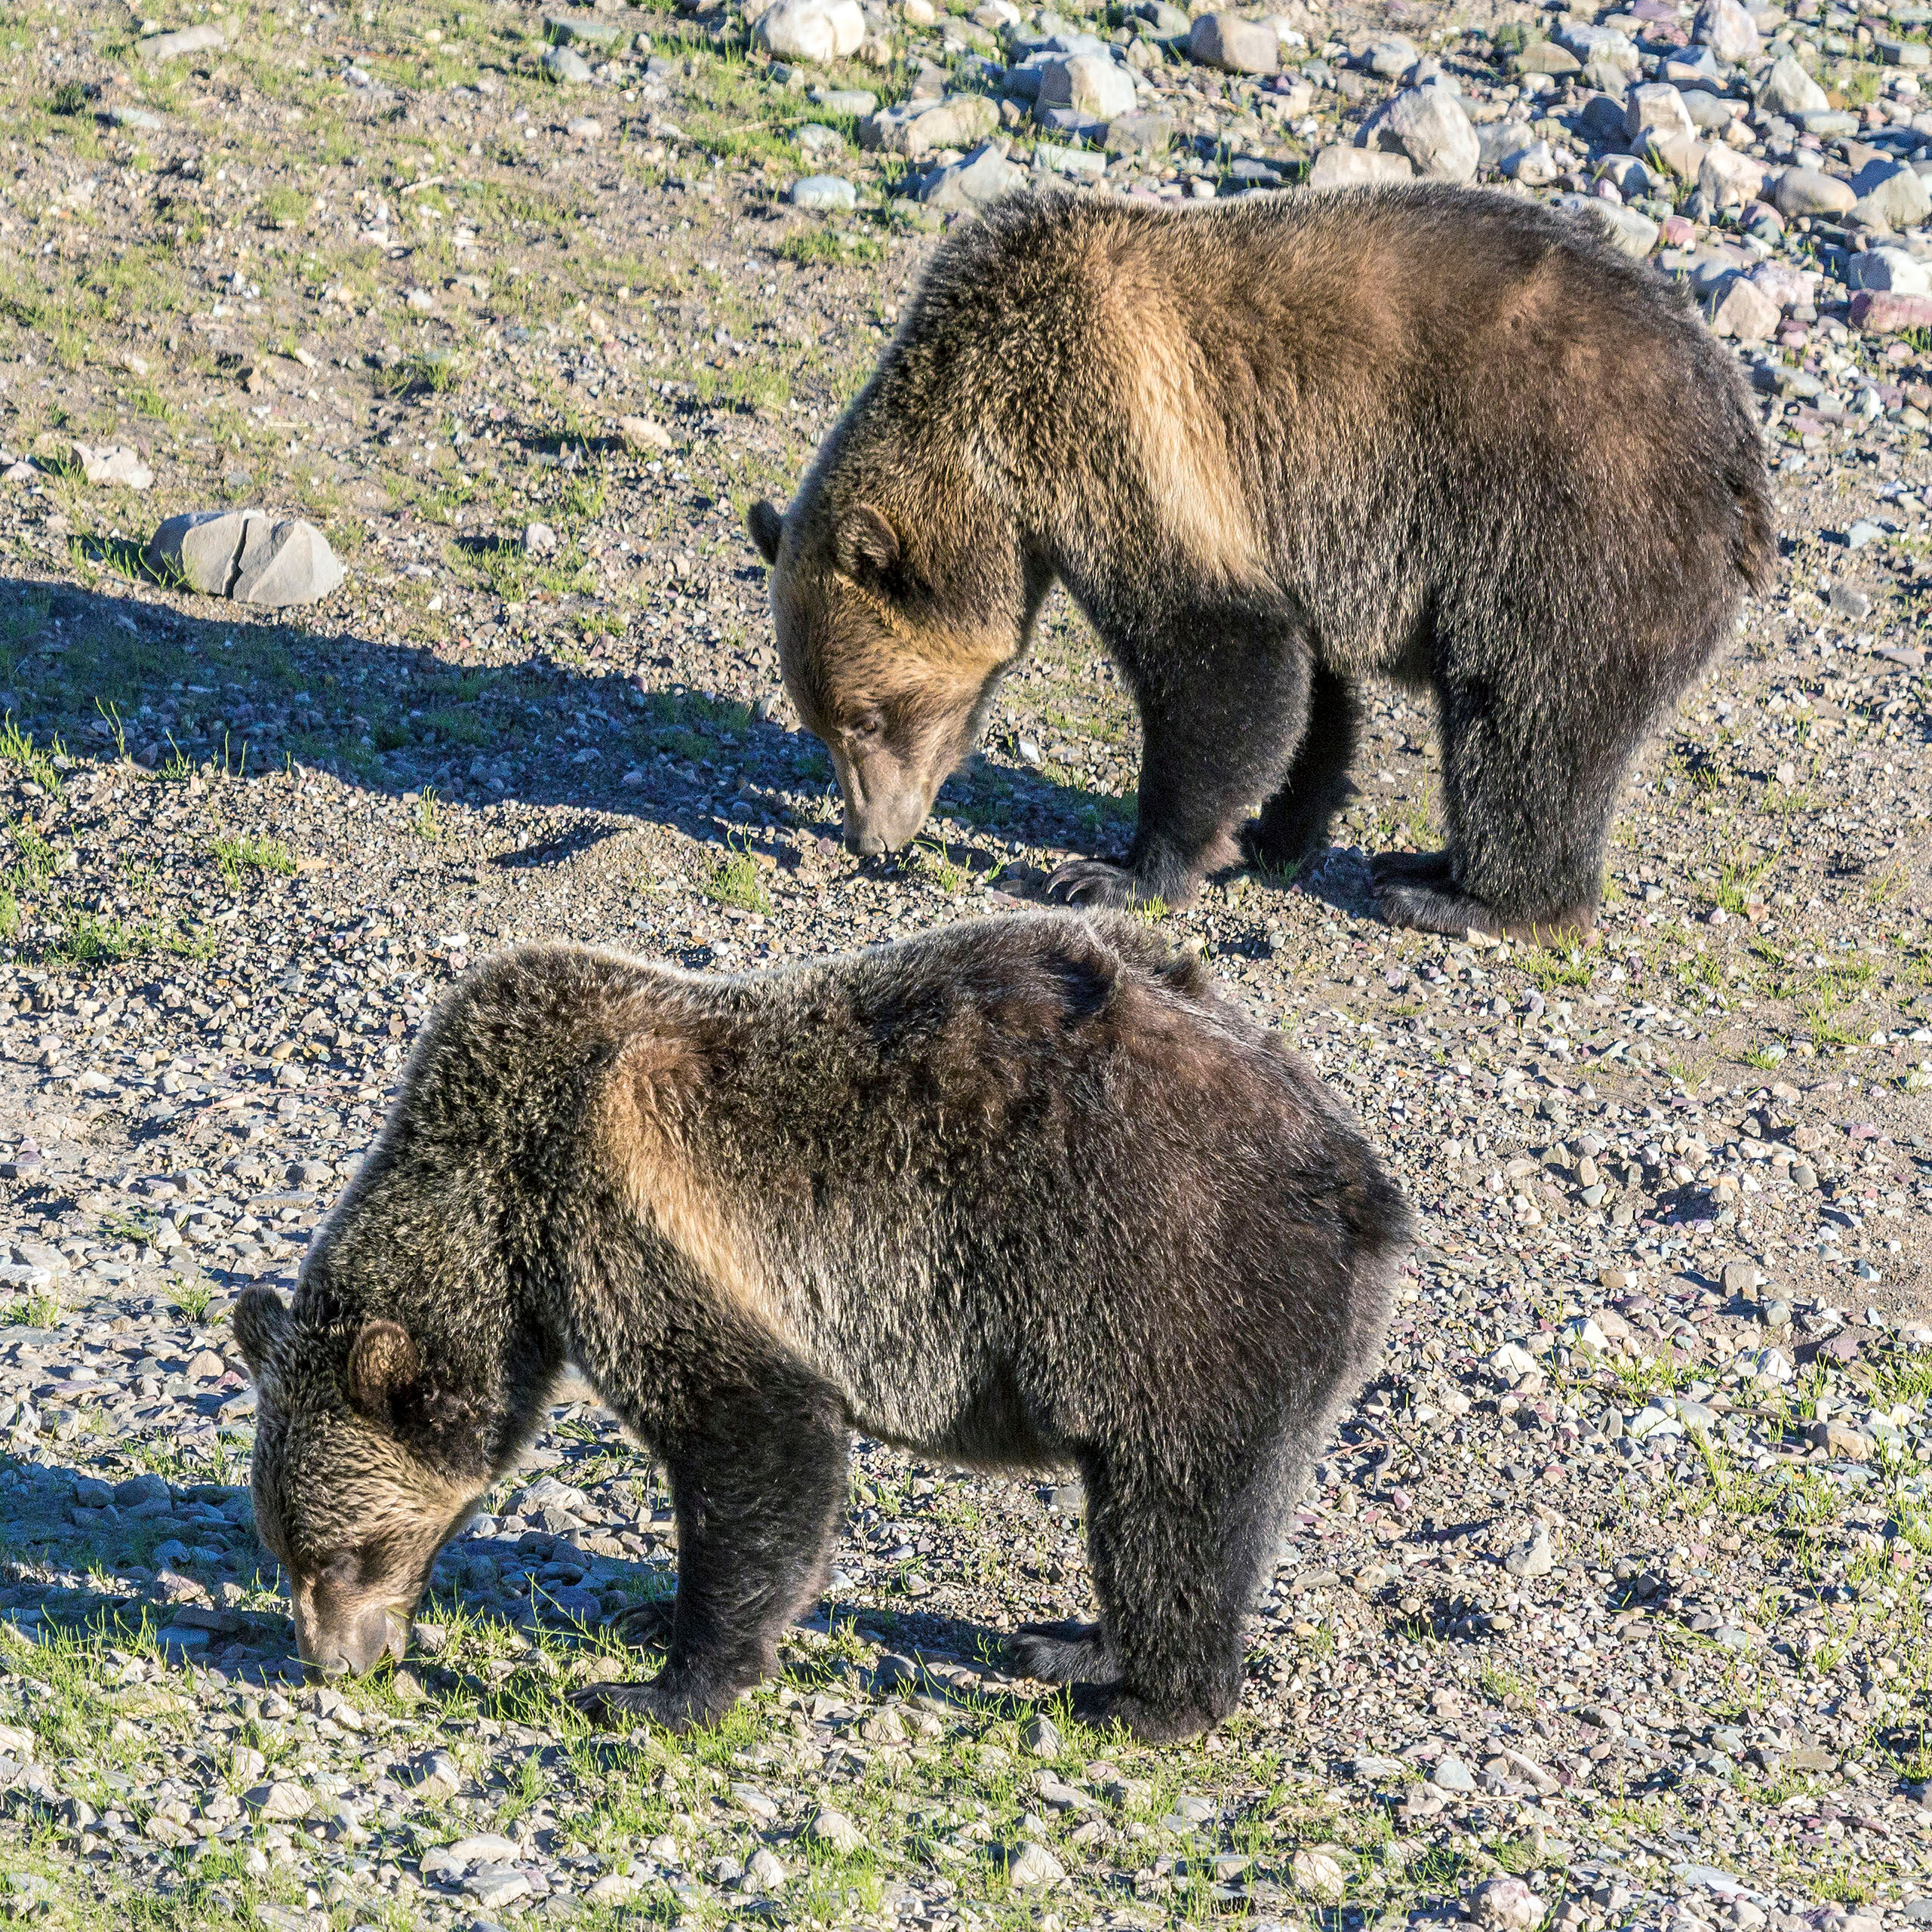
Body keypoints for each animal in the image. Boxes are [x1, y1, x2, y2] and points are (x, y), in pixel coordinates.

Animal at [233, 909, 1409, 1743]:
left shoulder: (632, 1213)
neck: (497, 1173)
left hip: (1165, 1276)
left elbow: (755, 1435)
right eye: (287, 1546)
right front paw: (648, 1619)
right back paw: (1068, 1643)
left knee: (1176, 1505)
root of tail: (1362, 1179)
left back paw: (1147, 1700)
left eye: (349, 1551)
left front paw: (660, 1687)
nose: (332, 1661)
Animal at [746, 185, 1773, 940]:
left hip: (1565, 522)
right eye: (820, 719)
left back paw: (1468, 897)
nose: (869, 835)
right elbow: (1308, 693)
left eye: (868, 716)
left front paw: (1115, 872)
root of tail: (1737, 442)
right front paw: (1281, 828)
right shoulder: (1281, 529)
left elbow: (1220, 666)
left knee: (1527, 720)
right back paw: (1422, 865)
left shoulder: (1127, 439)